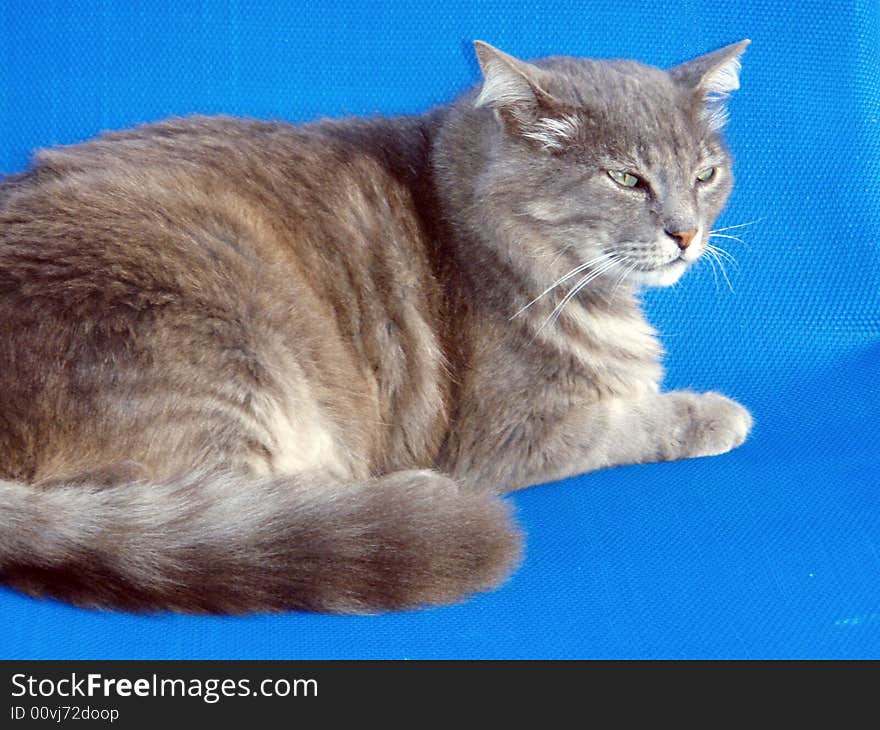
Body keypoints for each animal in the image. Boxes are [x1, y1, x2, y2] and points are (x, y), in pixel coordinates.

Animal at [0, 38, 748, 608]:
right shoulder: (511, 437)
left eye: (706, 173)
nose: (686, 233)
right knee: (241, 504)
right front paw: (713, 413)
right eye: (626, 179)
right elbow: (633, 418)